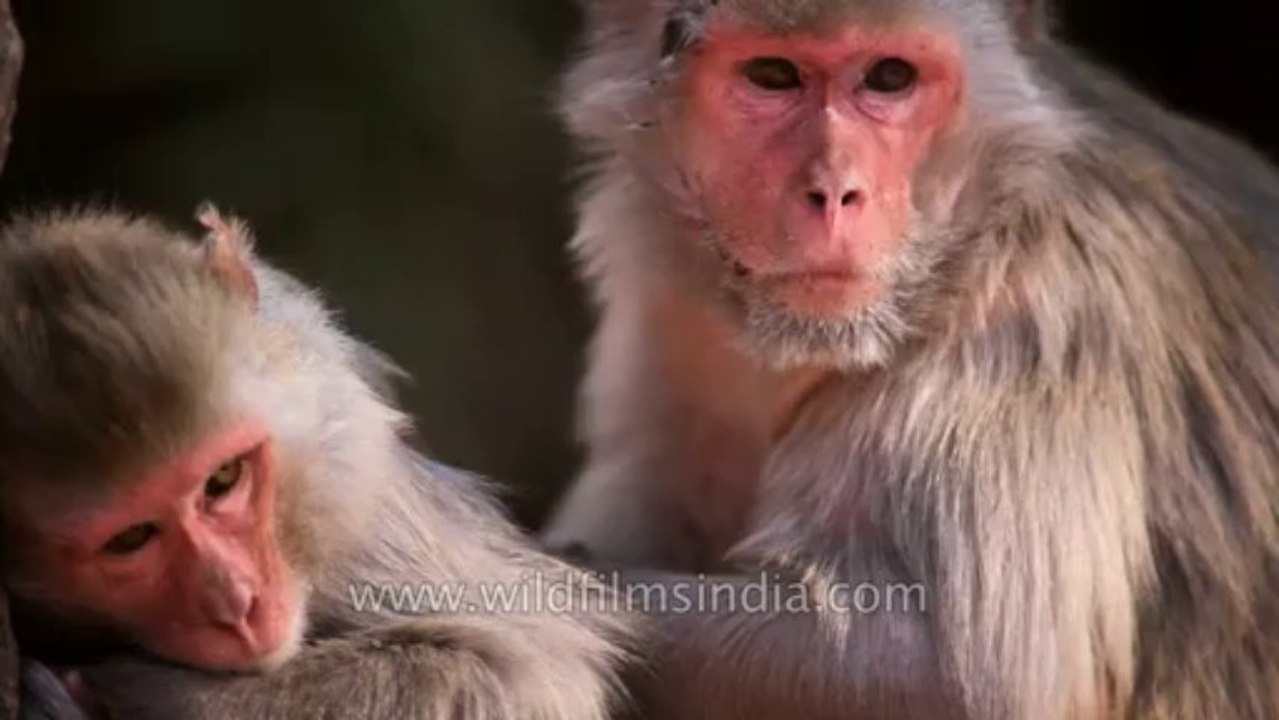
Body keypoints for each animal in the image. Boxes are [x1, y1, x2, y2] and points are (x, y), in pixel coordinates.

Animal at [0, 206, 637, 720]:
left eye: (222, 480)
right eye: (131, 538)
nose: (240, 605)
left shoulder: (351, 487)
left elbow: (527, 666)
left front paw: (147, 694)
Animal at [541, 0, 1279, 718]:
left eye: (888, 78)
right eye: (773, 75)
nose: (835, 193)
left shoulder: (1033, 317)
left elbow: (944, 675)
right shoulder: (667, 302)